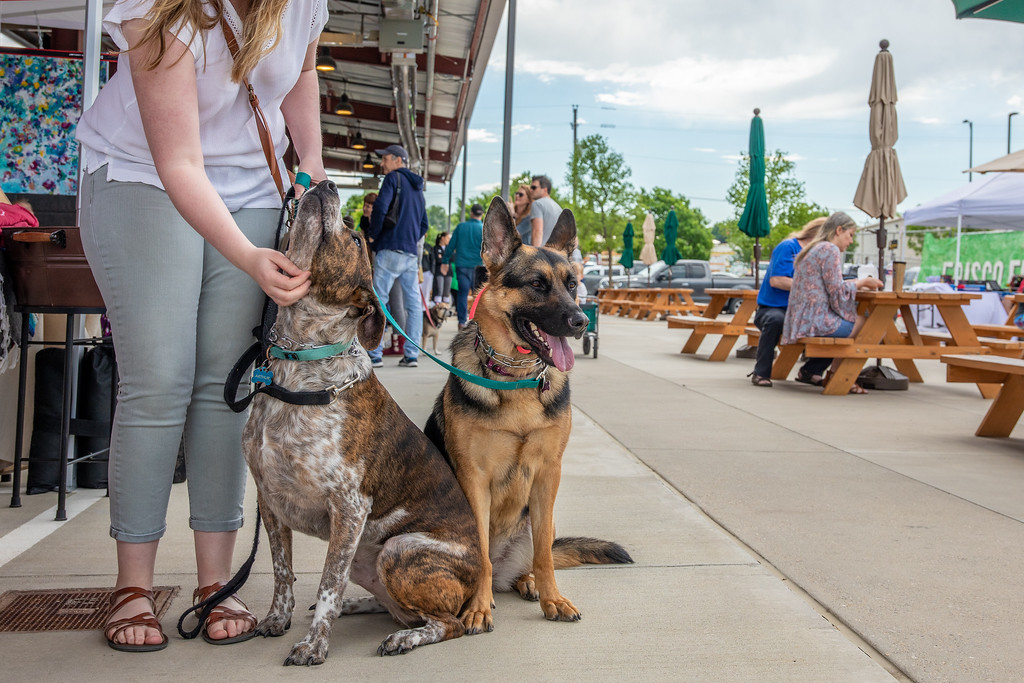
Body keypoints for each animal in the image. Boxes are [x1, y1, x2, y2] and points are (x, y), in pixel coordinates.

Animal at [241, 179, 481, 663]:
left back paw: (406, 638)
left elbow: (327, 583)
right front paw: (277, 619)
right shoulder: (269, 501)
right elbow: (282, 572)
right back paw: (362, 606)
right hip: (370, 559)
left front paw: (313, 644)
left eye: (355, 239)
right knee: (397, 609)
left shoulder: (349, 508)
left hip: (397, 549)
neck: (300, 365)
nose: (327, 182)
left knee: (446, 624)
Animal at [423, 193, 630, 634]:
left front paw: (553, 598)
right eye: (537, 284)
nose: (581, 321)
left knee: (537, 554)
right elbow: (480, 555)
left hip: (541, 520)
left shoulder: (549, 473)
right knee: (488, 560)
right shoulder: (474, 479)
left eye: (573, 284)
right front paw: (478, 608)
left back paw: (529, 582)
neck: (516, 379)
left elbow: (546, 556)